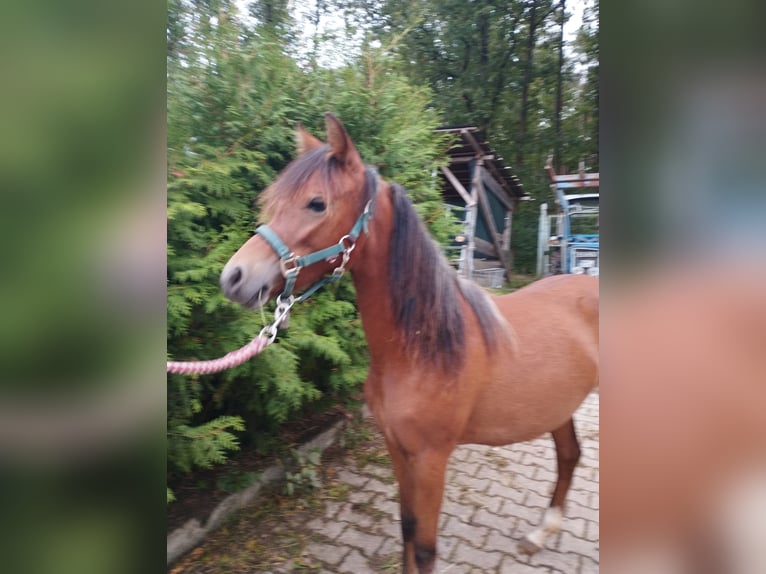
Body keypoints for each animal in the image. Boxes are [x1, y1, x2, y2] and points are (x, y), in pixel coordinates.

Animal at [222, 113, 600, 574]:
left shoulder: (431, 458)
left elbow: (424, 546)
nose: (234, 277)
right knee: (569, 455)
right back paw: (541, 534)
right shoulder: (398, 449)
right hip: (558, 407)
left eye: (316, 203)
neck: (421, 348)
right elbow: (405, 528)